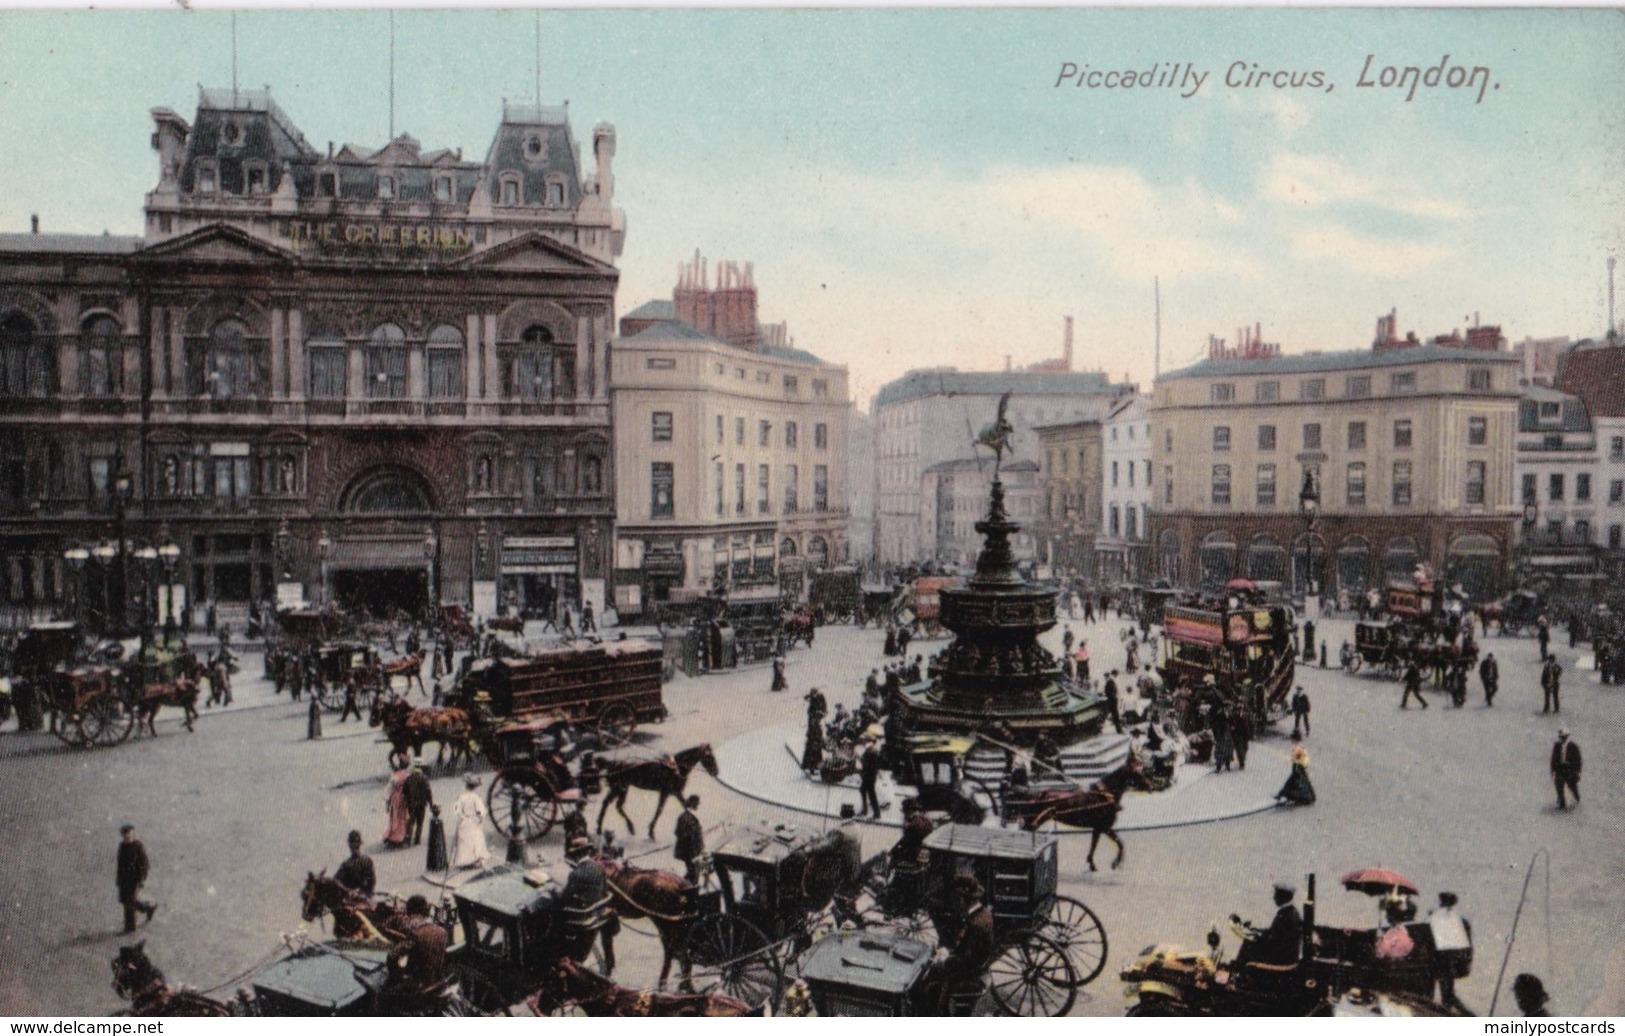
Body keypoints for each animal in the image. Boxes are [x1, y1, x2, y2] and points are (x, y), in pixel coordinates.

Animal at [1007, 759, 1150, 870]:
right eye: (1137, 773)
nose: (1150, 786)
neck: (1104, 795)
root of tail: (1032, 794)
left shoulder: (1098, 828)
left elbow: (1095, 844)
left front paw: (1091, 863)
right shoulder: (1104, 827)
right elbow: (1120, 843)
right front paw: (1115, 863)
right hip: (1034, 821)